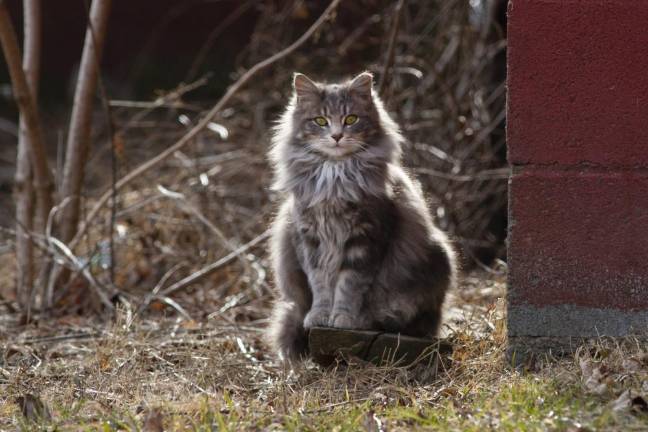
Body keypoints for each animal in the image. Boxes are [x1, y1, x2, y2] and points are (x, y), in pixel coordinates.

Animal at [266, 71, 458, 362]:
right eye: (320, 121)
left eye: (351, 119)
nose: (336, 136)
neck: (334, 176)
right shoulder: (309, 238)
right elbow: (320, 284)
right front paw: (320, 316)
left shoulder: (366, 236)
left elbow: (349, 285)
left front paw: (344, 318)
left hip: (436, 259)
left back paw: (372, 319)